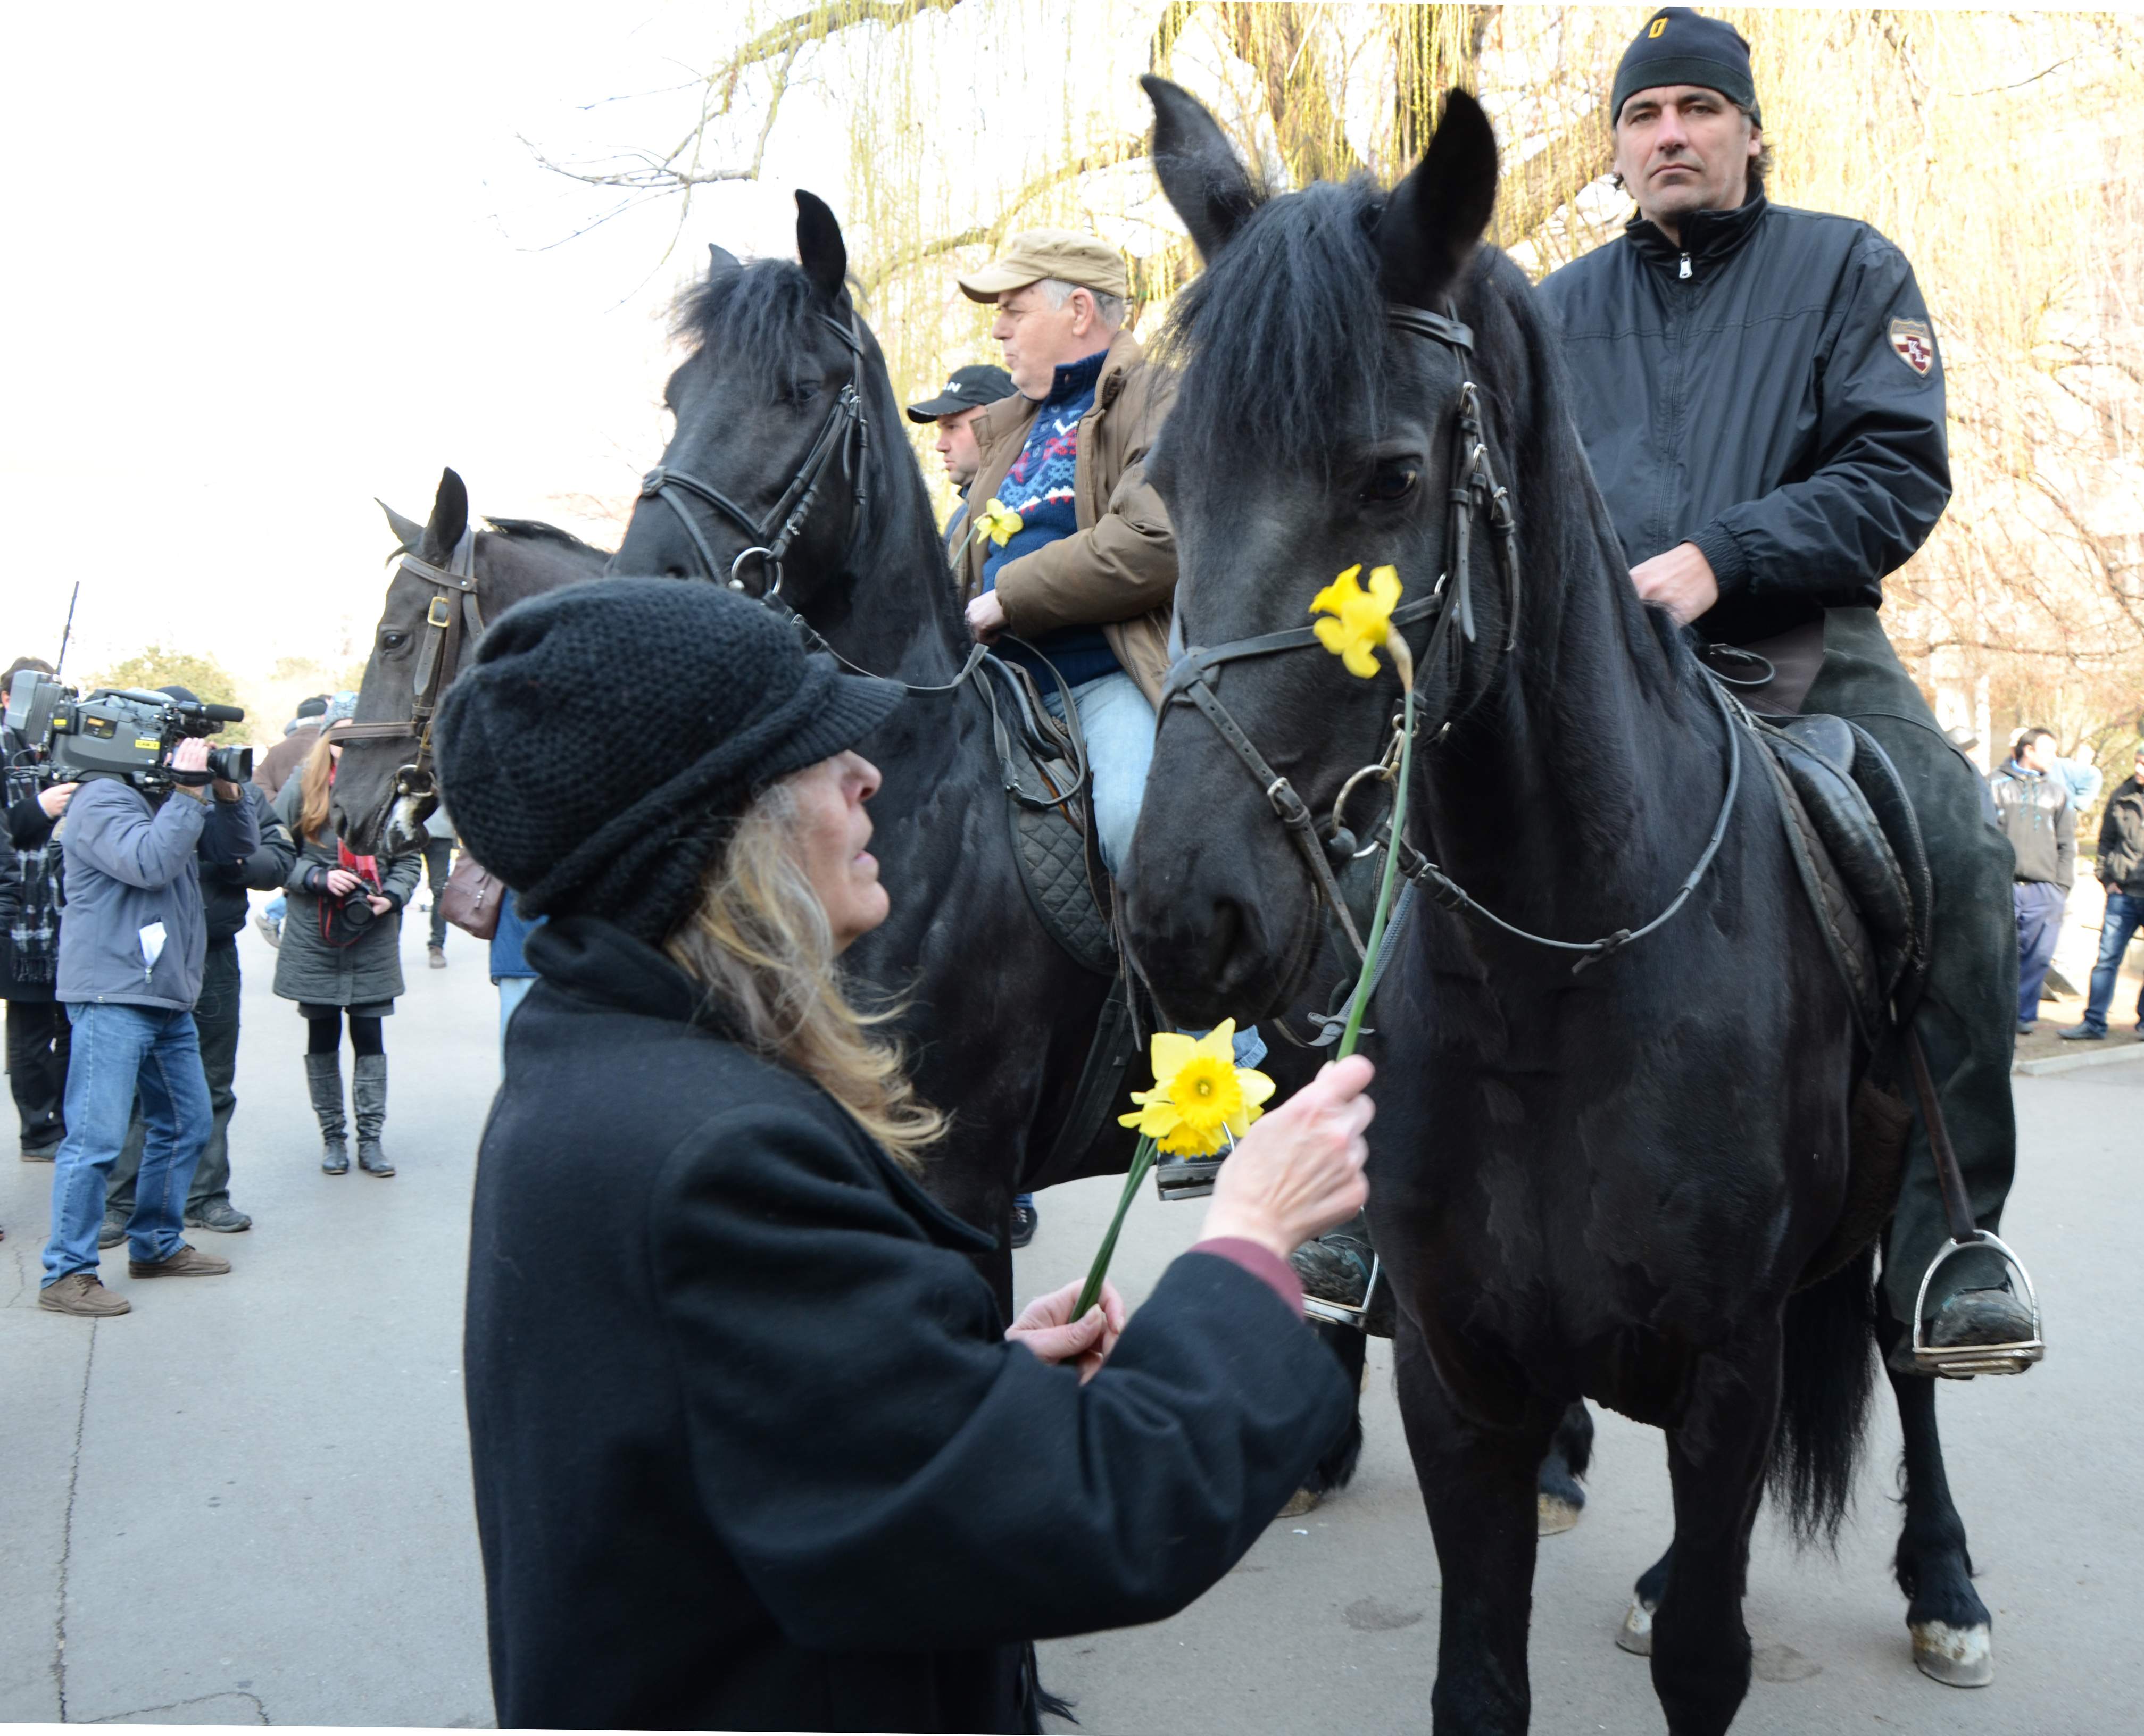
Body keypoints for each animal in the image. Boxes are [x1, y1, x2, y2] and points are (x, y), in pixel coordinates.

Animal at [1132, 85, 1981, 1731]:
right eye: (1166, 486)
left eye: (1391, 478)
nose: (1181, 914)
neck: (1560, 980)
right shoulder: (1460, 1376)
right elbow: (1478, 1679)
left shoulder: (1724, 1377)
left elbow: (1710, 1654)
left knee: (1910, 1356)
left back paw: (1944, 1582)